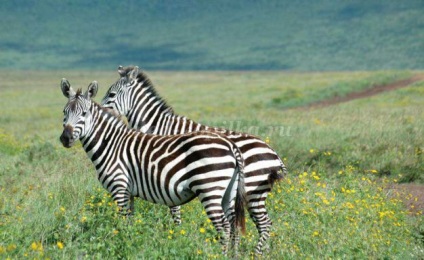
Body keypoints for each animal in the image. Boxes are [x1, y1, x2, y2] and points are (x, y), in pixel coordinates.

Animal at [58, 79, 247, 254]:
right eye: (64, 112)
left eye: (84, 113)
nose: (65, 138)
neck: (111, 144)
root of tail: (231, 145)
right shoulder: (129, 192)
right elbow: (129, 222)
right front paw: (129, 244)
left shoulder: (119, 187)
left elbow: (122, 222)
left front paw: (121, 245)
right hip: (228, 192)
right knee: (233, 225)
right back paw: (234, 255)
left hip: (210, 189)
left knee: (223, 227)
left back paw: (220, 255)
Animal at [100, 65, 288, 254]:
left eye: (111, 94)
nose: (100, 110)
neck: (159, 127)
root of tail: (274, 153)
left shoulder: (168, 172)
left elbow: (174, 210)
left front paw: (176, 237)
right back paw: (263, 252)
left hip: (252, 191)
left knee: (264, 223)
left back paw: (256, 253)